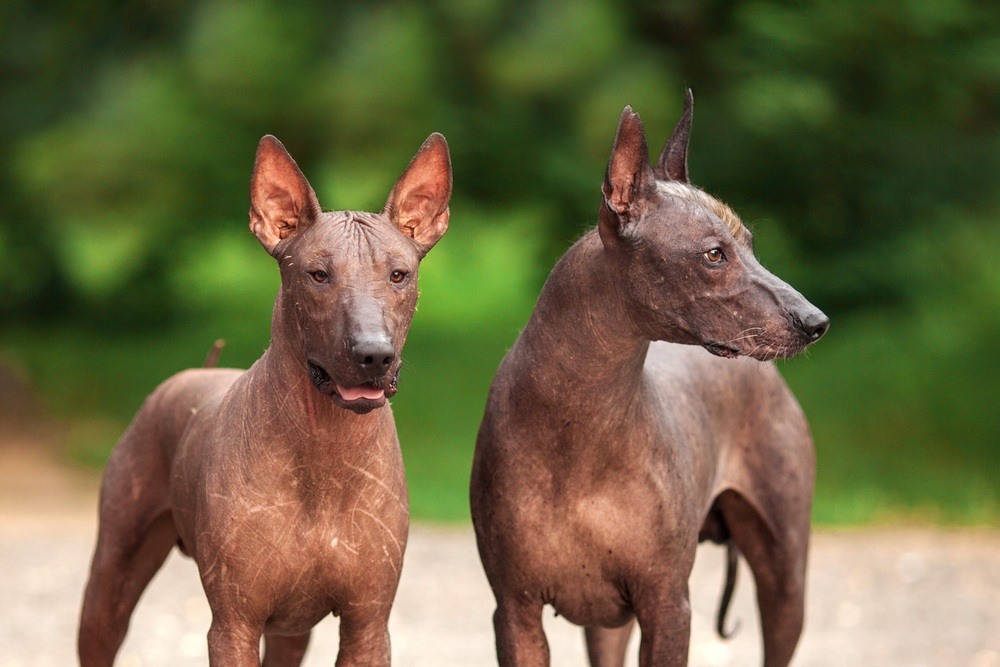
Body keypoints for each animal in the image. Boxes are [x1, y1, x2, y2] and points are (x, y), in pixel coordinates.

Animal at [79, 133, 454, 664]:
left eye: (399, 275)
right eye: (318, 275)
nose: (373, 354)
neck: (325, 448)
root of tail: (194, 372)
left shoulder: (368, 625)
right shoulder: (233, 624)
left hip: (291, 631)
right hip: (110, 583)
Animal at [468, 94, 828, 667]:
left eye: (750, 244)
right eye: (714, 254)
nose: (817, 322)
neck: (581, 418)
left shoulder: (667, 605)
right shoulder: (516, 613)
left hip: (785, 578)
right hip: (605, 624)